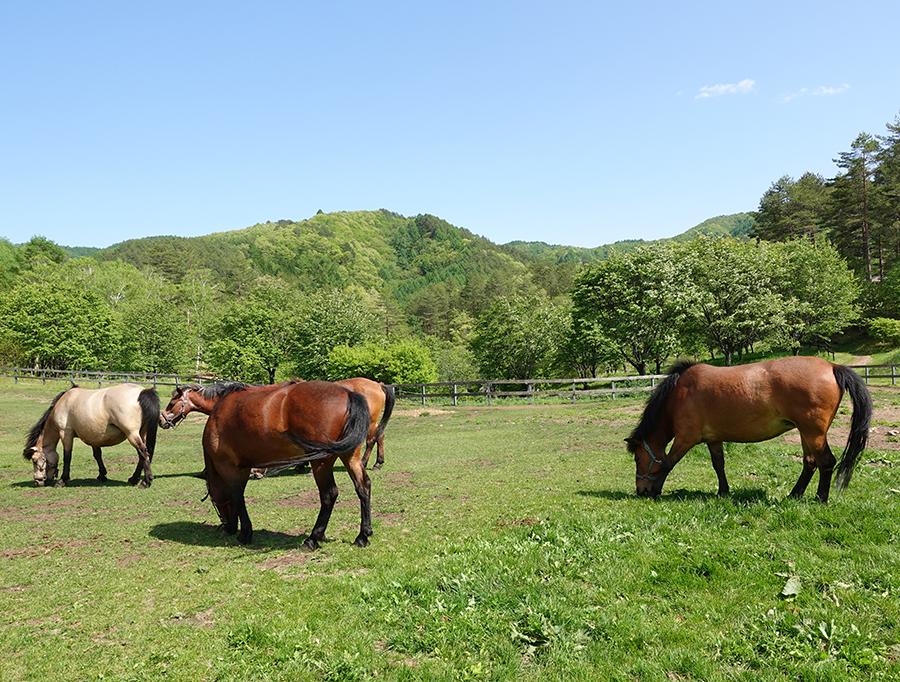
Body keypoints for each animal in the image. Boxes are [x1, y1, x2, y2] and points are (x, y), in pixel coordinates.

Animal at [23, 380, 161, 486]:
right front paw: (102, 475)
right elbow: (97, 455)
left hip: (132, 434)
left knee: (143, 452)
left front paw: (63, 480)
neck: (65, 402)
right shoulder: (94, 437)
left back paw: (146, 482)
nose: (37, 481)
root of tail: (142, 391)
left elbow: (67, 457)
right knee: (143, 455)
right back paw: (134, 479)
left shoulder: (66, 434)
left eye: (35, 461)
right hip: (141, 433)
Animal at [163, 382, 370, 548]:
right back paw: (362, 536)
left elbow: (237, 496)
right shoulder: (244, 467)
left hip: (321, 463)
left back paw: (313, 538)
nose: (162, 419)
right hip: (349, 457)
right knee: (363, 487)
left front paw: (245, 533)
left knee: (329, 495)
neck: (219, 408)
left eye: (172, 403)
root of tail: (348, 394)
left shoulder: (231, 468)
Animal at [624, 358, 872, 502]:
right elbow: (719, 465)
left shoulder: (686, 438)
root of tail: (832, 367)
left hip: (814, 433)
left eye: (638, 458)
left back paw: (820, 498)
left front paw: (656, 490)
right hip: (806, 433)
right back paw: (794, 495)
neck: (680, 393)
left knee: (826, 462)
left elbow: (668, 463)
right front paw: (723, 491)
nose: (641, 490)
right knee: (810, 463)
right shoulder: (713, 439)